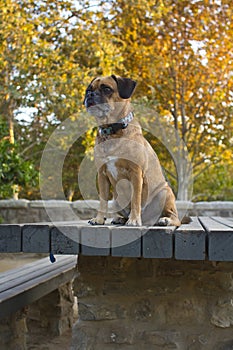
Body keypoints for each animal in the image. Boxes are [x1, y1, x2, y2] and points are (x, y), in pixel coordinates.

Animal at [84, 74, 182, 227]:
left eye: (106, 89)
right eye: (89, 89)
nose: (90, 94)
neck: (112, 130)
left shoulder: (135, 173)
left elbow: (136, 199)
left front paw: (134, 220)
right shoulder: (102, 175)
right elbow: (102, 201)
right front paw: (99, 219)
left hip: (164, 193)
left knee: (175, 218)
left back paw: (165, 220)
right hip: (116, 200)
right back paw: (120, 218)